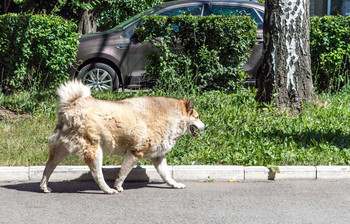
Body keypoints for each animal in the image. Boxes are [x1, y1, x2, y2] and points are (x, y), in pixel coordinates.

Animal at [40, 79, 206, 193]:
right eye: (197, 117)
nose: (206, 127)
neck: (172, 116)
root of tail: (71, 106)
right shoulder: (135, 153)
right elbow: (123, 173)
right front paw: (118, 186)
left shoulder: (158, 157)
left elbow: (167, 175)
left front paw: (175, 184)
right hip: (95, 151)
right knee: (97, 174)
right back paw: (108, 190)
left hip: (61, 150)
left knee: (48, 167)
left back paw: (44, 186)